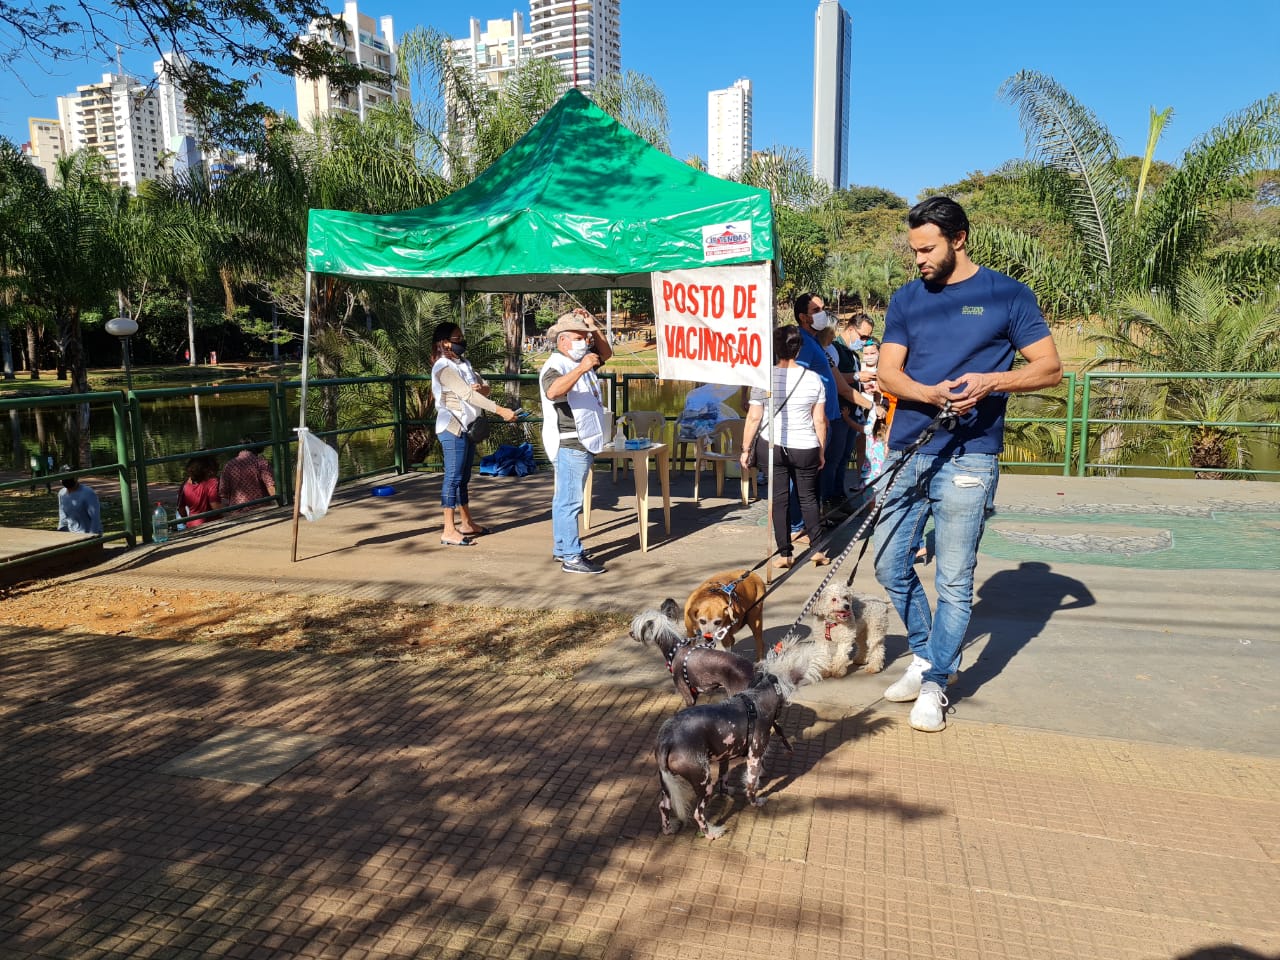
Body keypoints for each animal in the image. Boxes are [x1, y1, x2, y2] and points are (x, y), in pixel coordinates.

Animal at [650, 640, 829, 839]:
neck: (760, 696)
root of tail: (666, 739)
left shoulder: (725, 756)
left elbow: (725, 776)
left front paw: (728, 790)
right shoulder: (754, 756)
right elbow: (751, 784)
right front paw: (756, 801)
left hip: (667, 781)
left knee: (663, 806)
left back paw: (668, 829)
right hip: (703, 779)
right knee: (698, 813)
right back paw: (712, 832)